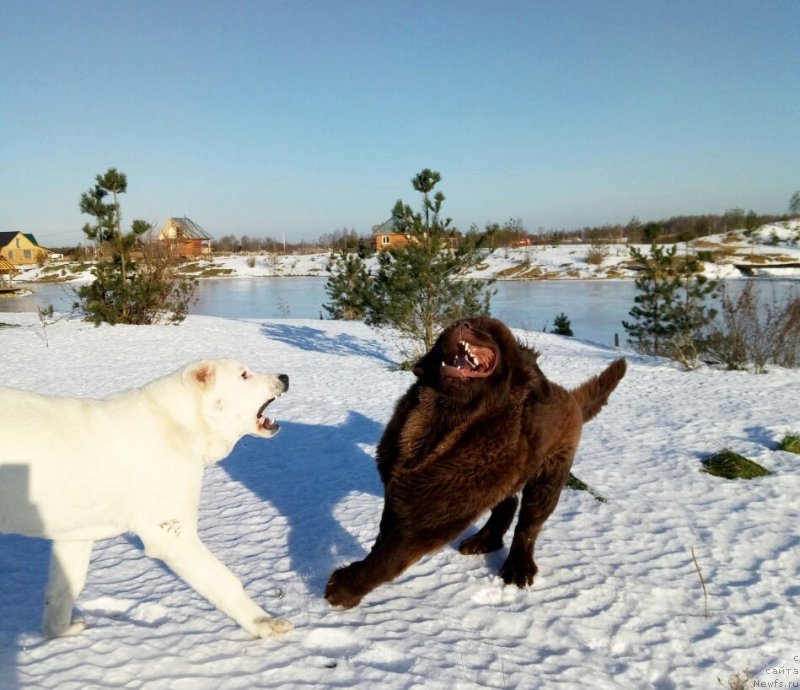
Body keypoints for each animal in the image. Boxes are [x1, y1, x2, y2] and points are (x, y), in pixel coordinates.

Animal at [0, 358, 292, 636]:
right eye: (244, 374)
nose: (285, 377)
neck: (179, 423)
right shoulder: (171, 535)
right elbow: (223, 580)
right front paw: (263, 623)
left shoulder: (75, 533)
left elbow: (65, 587)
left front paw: (60, 632)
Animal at [324, 314, 624, 604]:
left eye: (488, 332)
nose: (459, 324)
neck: (446, 417)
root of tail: (569, 396)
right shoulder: (399, 488)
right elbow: (384, 533)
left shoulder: (439, 509)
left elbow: (390, 556)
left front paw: (344, 588)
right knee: (507, 504)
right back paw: (485, 540)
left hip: (548, 479)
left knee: (528, 526)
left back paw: (518, 568)